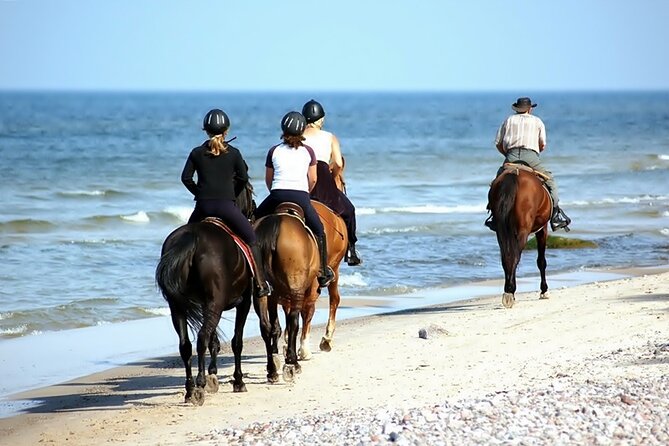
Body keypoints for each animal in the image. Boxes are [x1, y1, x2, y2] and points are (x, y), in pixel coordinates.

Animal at [155, 183, 276, 406]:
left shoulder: (206, 304)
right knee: (202, 337)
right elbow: (236, 342)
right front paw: (238, 381)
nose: (253, 211)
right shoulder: (243, 302)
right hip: (216, 303)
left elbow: (215, 340)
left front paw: (213, 374)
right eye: (249, 191)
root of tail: (191, 238)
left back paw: (190, 389)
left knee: (186, 345)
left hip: (179, 307)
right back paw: (200, 385)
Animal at [253, 206, 320, 384]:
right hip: (296, 289)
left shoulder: (274, 296)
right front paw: (292, 361)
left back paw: (272, 370)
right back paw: (291, 364)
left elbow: (275, 326)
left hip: (260, 292)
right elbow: (294, 323)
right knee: (294, 322)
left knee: (266, 326)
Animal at [488, 166, 552, 308]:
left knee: (506, 257)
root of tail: (513, 173)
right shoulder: (542, 229)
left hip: (501, 232)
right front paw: (544, 290)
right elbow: (541, 261)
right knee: (516, 256)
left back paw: (508, 291)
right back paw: (510, 291)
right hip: (523, 230)